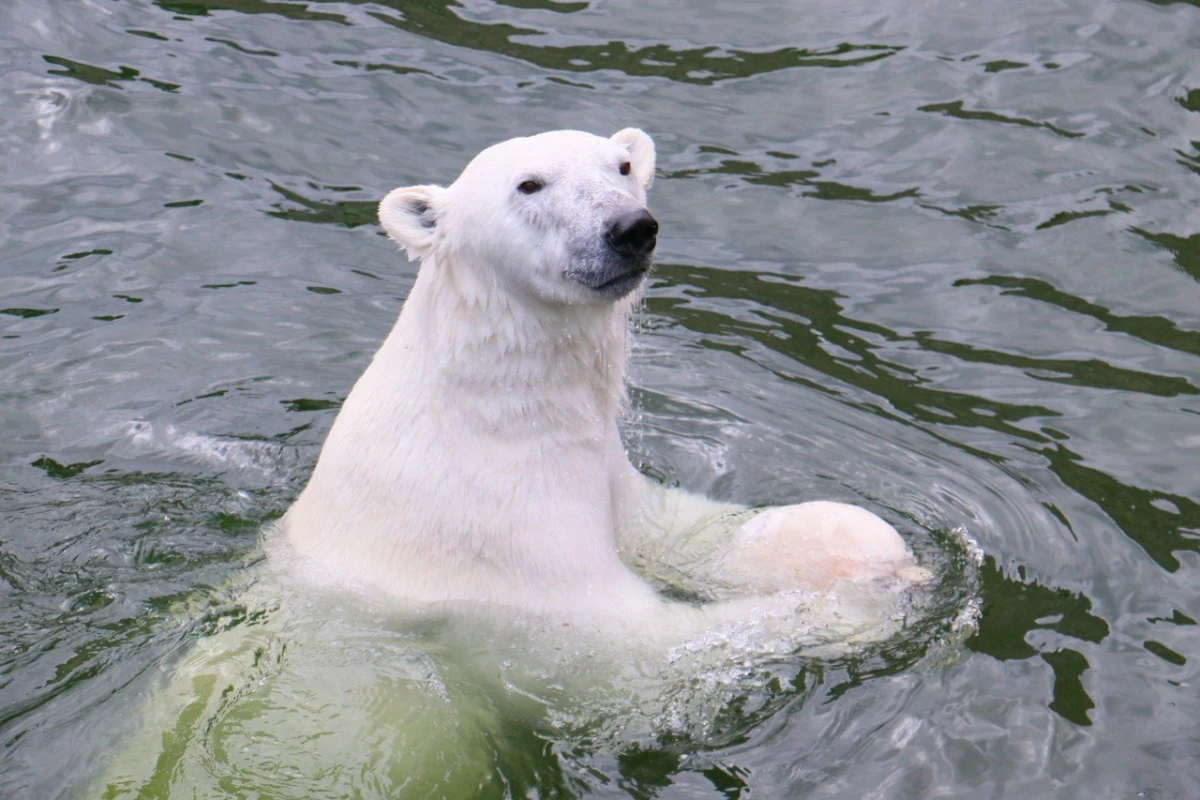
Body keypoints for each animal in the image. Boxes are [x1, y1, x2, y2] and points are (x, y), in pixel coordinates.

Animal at [283, 126, 926, 623]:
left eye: (622, 166)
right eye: (529, 184)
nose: (631, 227)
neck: (492, 417)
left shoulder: (605, 473)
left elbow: (671, 528)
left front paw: (851, 545)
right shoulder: (490, 536)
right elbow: (642, 639)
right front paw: (854, 601)